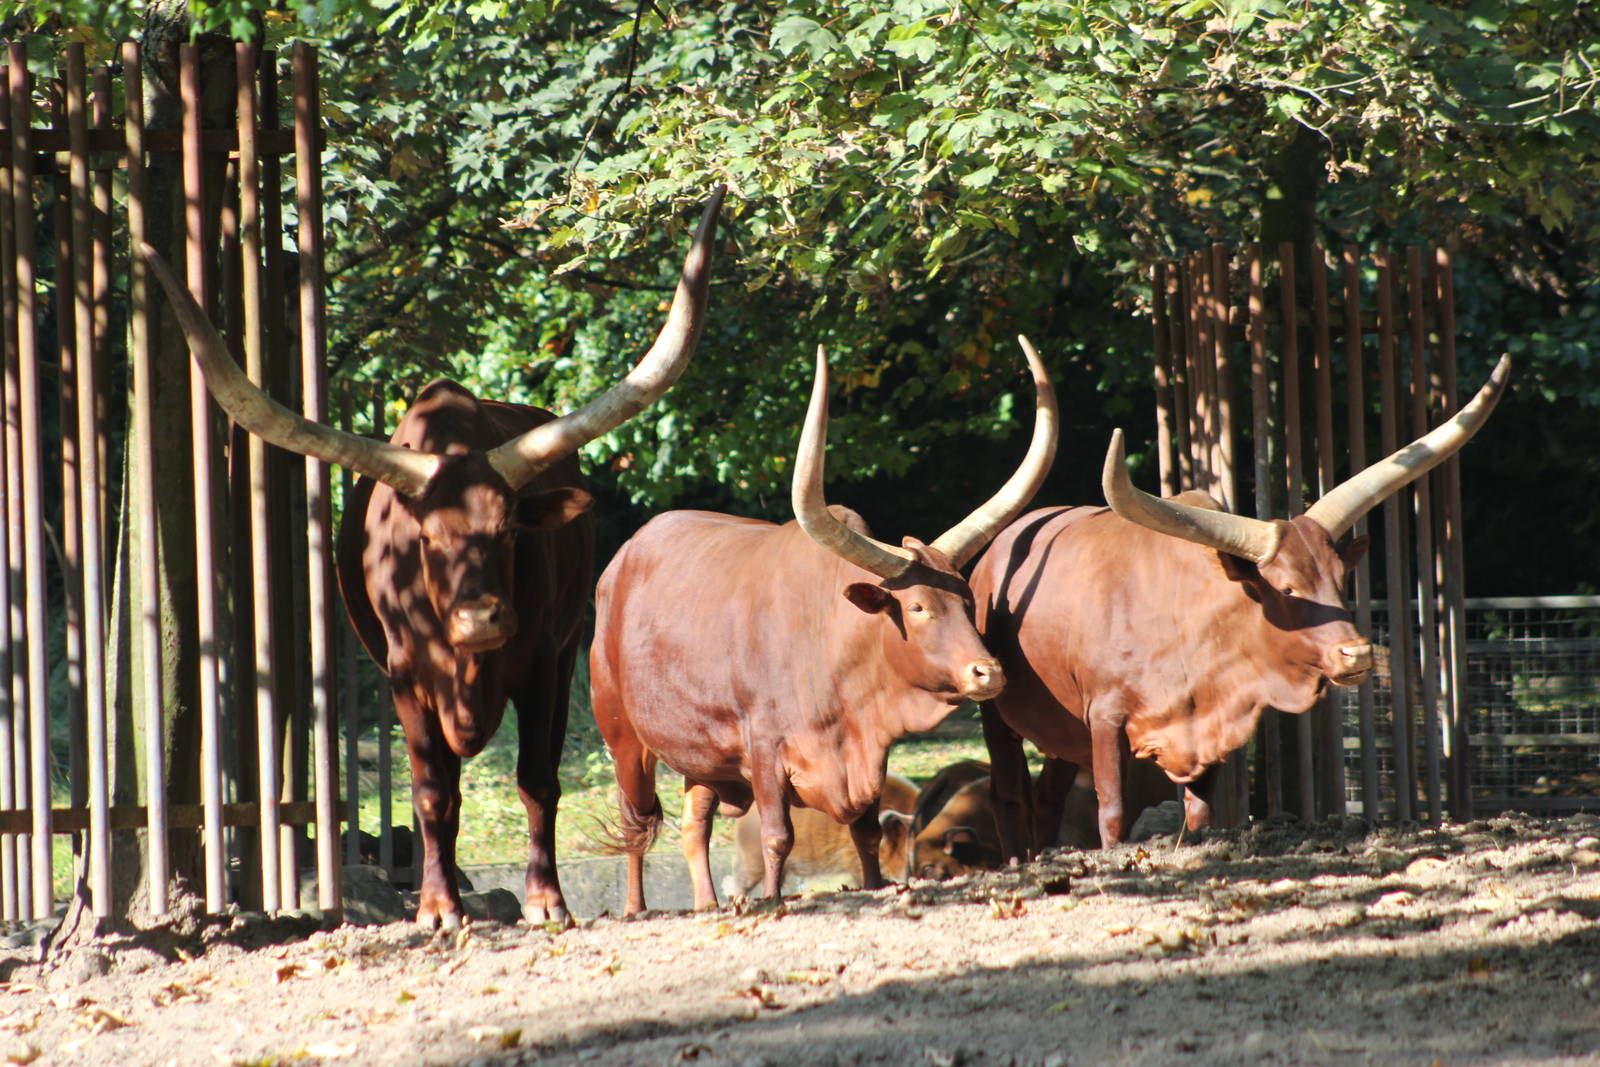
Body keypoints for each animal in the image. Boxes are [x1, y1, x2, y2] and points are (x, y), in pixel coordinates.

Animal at [140, 189, 724, 929]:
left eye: (510, 531)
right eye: (425, 539)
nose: (481, 619)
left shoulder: (543, 663)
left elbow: (537, 779)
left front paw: (546, 899)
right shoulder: (405, 677)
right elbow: (431, 792)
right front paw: (439, 906)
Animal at [590, 338, 1058, 914]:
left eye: (969, 602)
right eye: (917, 607)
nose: (987, 672)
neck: (830, 645)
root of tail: (620, 563)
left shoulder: (868, 749)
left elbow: (867, 833)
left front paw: (875, 887)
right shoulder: (764, 751)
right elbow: (777, 835)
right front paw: (772, 900)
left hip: (702, 757)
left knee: (694, 825)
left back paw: (705, 905)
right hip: (622, 735)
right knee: (636, 824)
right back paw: (636, 907)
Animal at [971, 355, 1510, 858]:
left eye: (1341, 580)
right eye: (1287, 589)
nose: (1355, 654)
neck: (1184, 622)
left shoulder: (1206, 733)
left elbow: (1201, 814)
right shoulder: (1105, 720)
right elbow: (1112, 812)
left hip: (1061, 733)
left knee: (1046, 797)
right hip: (997, 710)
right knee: (1008, 795)